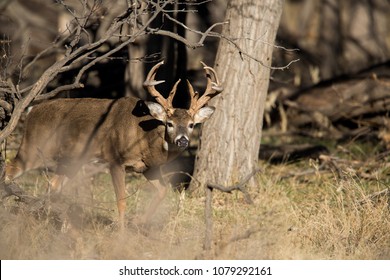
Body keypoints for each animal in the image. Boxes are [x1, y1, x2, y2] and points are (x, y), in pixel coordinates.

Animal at [4, 61, 222, 228]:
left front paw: (139, 222)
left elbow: (162, 191)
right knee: (10, 169)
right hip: (34, 147)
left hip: (69, 161)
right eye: (169, 123)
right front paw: (121, 234)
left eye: (192, 125)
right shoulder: (115, 160)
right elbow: (122, 200)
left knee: (52, 186)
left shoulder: (147, 168)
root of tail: (31, 111)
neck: (144, 138)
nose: (182, 140)